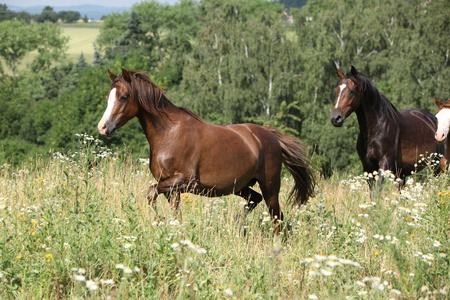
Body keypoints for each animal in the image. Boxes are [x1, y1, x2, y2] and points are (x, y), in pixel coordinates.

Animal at [96, 68, 314, 234]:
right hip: (241, 186)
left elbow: (150, 193)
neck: (169, 133)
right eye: (107, 97)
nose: (103, 128)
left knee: (276, 216)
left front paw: (161, 220)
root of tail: (269, 134)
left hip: (270, 186)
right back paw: (236, 222)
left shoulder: (183, 181)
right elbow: (172, 211)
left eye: (123, 97)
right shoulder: (171, 188)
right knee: (255, 200)